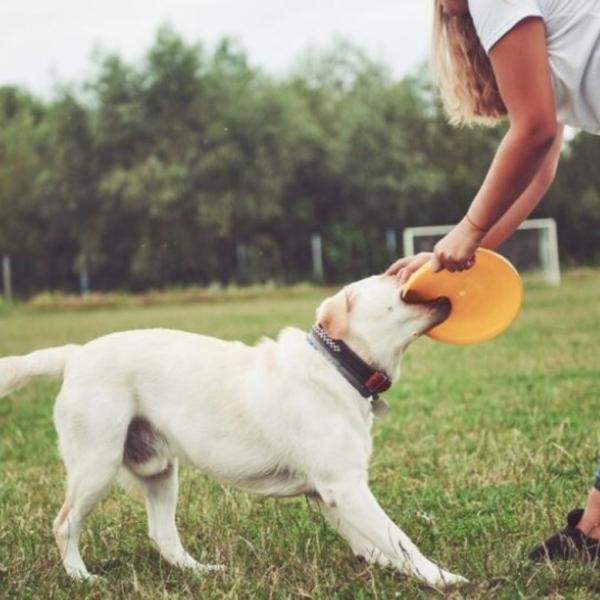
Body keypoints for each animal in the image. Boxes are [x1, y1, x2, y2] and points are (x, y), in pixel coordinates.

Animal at [0, 274, 466, 588]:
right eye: (393, 279)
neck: (339, 365)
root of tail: (76, 354)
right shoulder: (345, 487)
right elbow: (399, 539)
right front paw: (440, 577)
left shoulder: (330, 493)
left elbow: (373, 543)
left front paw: (391, 568)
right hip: (97, 466)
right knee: (64, 524)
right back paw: (81, 577)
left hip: (159, 470)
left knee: (163, 537)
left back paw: (200, 571)